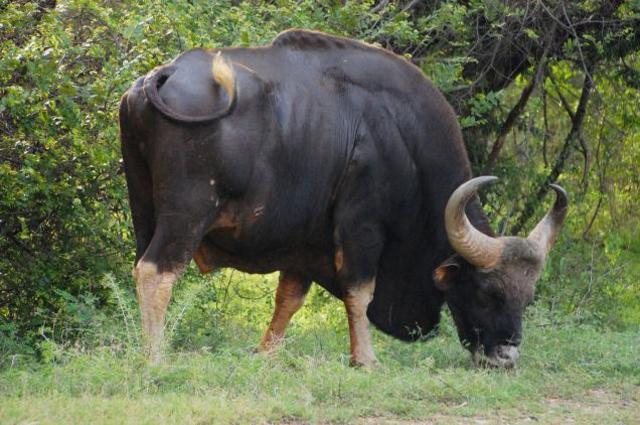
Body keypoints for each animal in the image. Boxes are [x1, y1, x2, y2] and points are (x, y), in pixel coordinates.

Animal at [119, 29, 567, 368]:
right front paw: (365, 359)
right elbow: (360, 291)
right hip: (187, 212)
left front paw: (266, 354)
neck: (403, 139)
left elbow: (290, 297)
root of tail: (163, 75)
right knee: (157, 271)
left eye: (527, 298)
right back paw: (155, 356)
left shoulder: (303, 240)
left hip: (143, 206)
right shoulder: (361, 226)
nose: (506, 356)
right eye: (488, 293)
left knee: (141, 267)